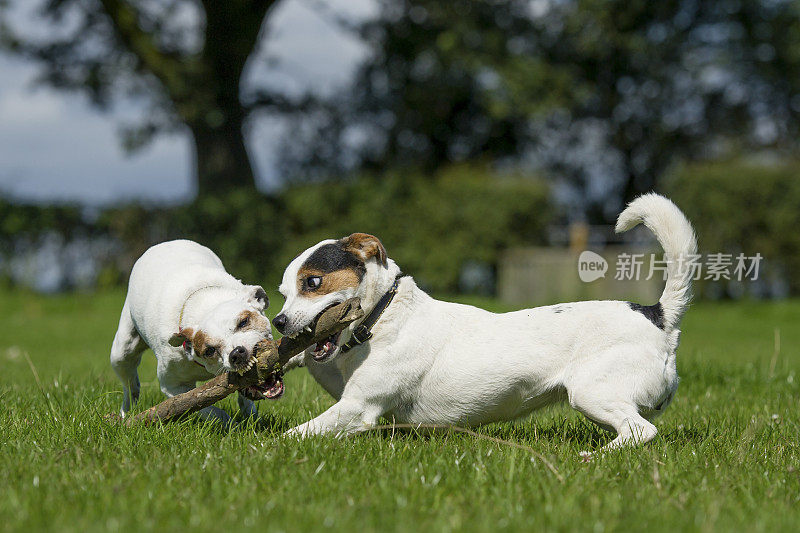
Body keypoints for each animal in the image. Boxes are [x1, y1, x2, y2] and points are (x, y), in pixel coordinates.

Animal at [109, 239, 282, 422]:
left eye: (243, 322)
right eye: (210, 350)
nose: (236, 353)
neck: (204, 305)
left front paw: (251, 415)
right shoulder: (172, 386)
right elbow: (200, 407)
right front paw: (228, 422)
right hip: (122, 352)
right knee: (130, 385)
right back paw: (125, 413)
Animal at [276, 193, 700, 450]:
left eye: (312, 283)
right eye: (282, 291)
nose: (279, 322)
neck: (384, 315)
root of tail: (657, 315)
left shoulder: (359, 408)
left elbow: (298, 433)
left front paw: (268, 447)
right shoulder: (344, 390)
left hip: (592, 392)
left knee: (641, 431)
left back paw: (592, 458)